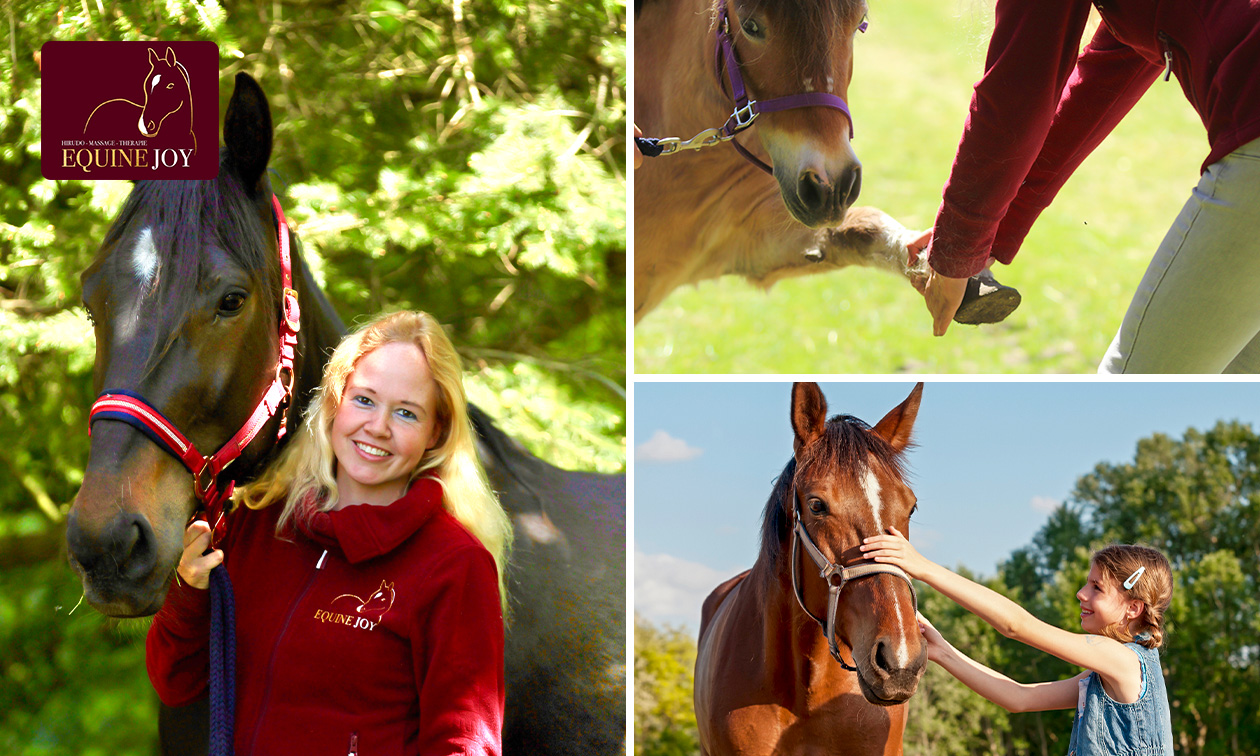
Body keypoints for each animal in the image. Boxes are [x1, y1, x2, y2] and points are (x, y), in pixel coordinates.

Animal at [633, 0, 1015, 324]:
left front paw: (948, 272)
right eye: (751, 25)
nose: (831, 185)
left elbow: (862, 228)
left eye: (859, 24)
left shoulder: (749, 241)